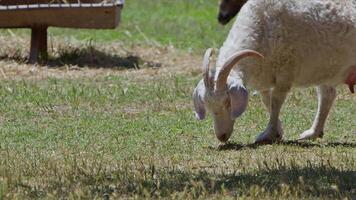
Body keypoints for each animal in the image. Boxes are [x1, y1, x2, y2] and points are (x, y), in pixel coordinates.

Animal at [193, 0, 356, 144]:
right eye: (207, 105)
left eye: (228, 102)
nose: (221, 137)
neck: (262, 25)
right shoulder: (265, 75)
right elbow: (267, 100)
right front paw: (277, 131)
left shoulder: (285, 70)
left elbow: (276, 101)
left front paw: (269, 133)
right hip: (326, 68)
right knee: (327, 95)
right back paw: (312, 133)